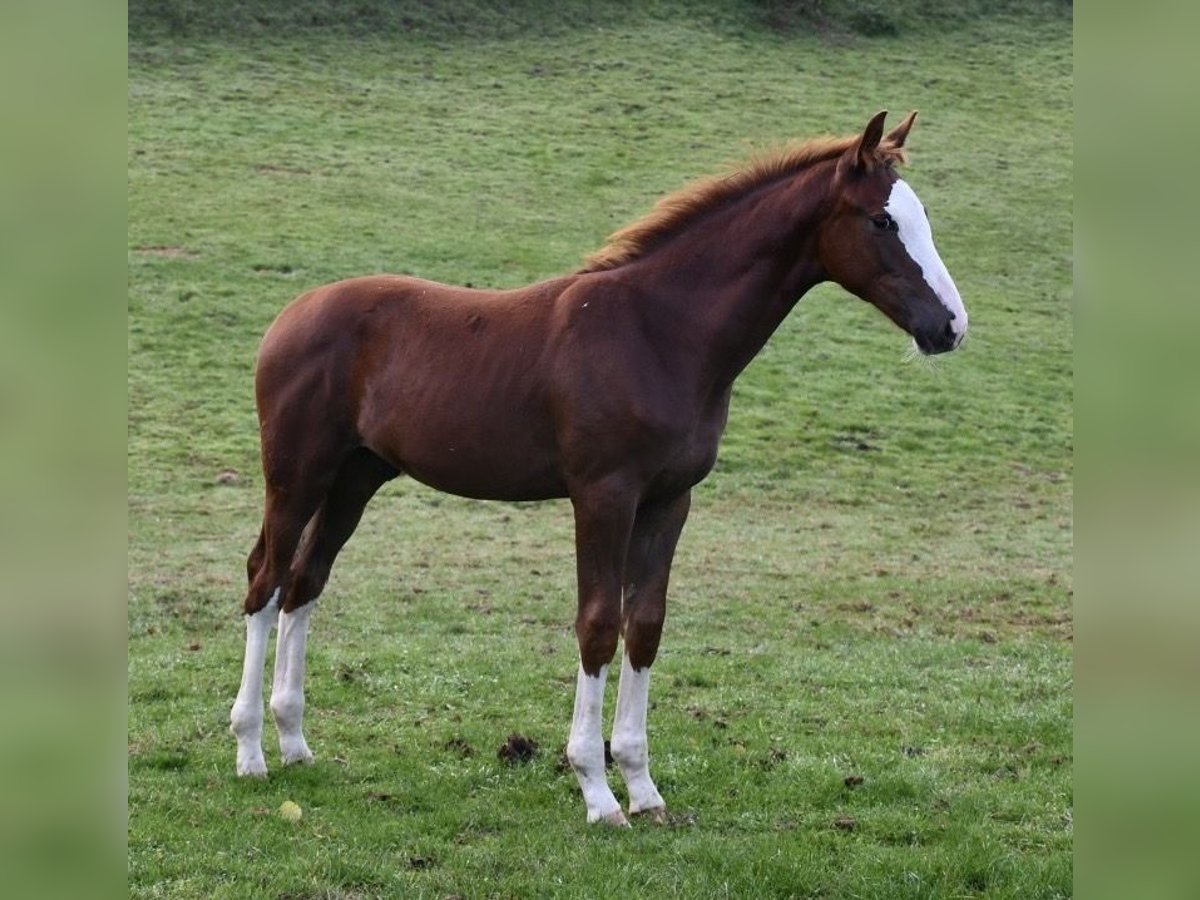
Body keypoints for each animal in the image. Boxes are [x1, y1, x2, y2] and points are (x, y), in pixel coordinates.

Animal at [230, 110, 967, 826]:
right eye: (881, 221)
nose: (951, 327)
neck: (659, 331)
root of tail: (291, 315)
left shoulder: (669, 501)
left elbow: (645, 625)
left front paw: (643, 788)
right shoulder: (603, 496)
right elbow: (597, 624)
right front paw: (597, 791)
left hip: (356, 478)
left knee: (305, 582)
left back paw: (295, 741)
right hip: (297, 474)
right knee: (267, 579)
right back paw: (250, 753)